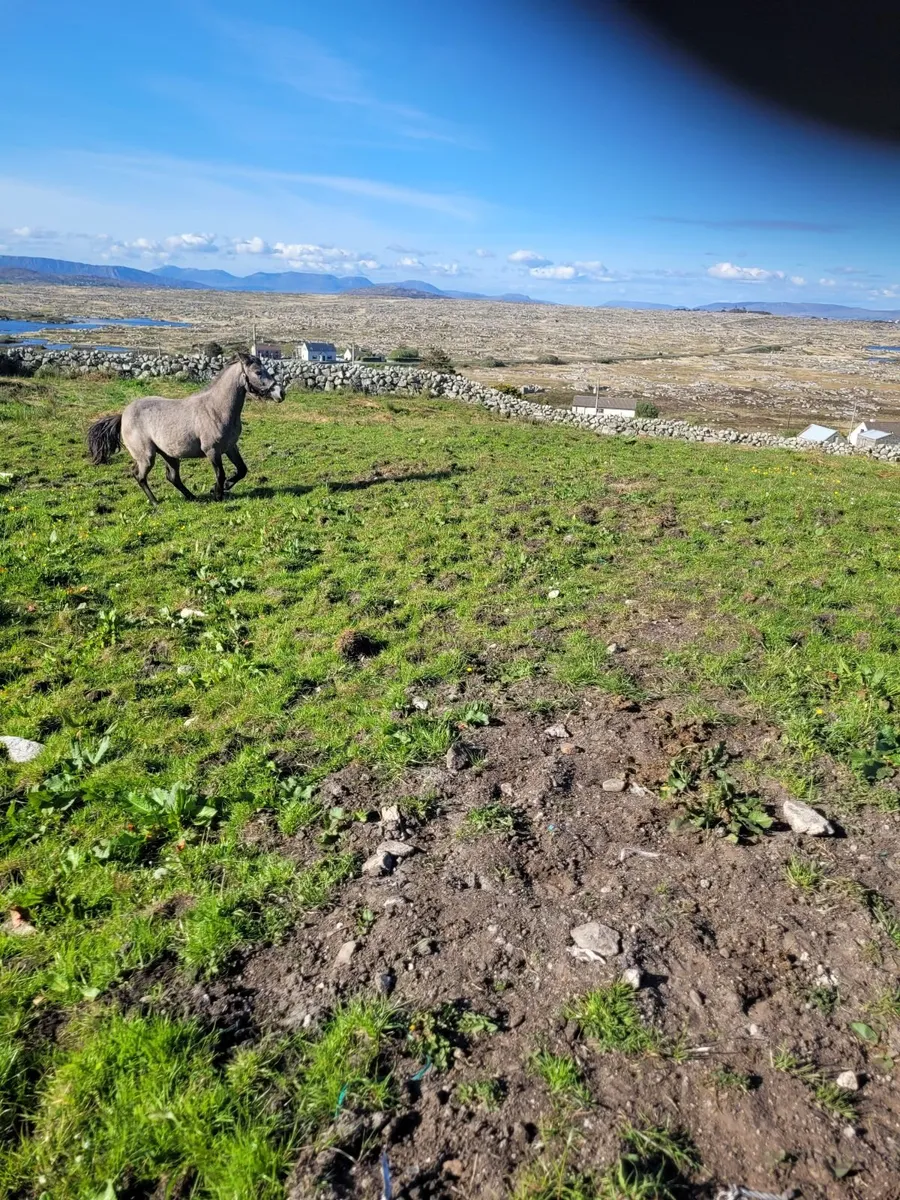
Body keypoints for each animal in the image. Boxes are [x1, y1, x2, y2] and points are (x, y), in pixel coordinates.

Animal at [86, 353, 284, 504]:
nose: (280, 393)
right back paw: (155, 502)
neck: (216, 409)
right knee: (139, 476)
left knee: (173, 477)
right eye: (258, 372)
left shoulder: (230, 447)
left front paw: (222, 487)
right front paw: (218, 494)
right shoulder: (212, 451)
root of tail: (122, 415)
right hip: (147, 457)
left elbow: (242, 470)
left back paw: (193, 497)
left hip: (170, 455)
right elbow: (220, 474)